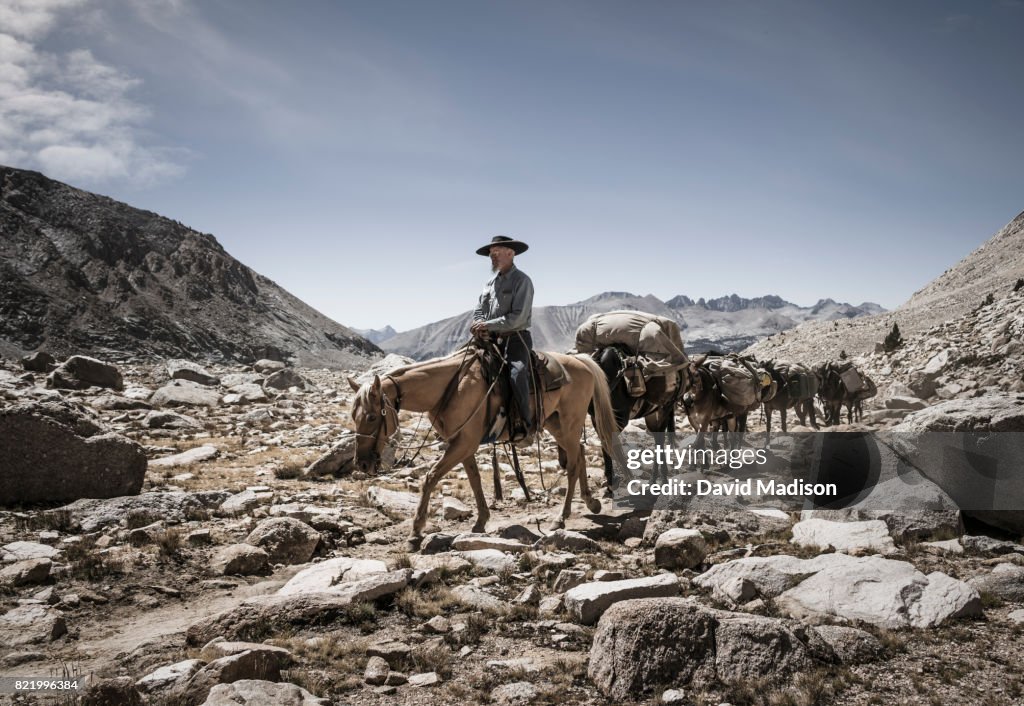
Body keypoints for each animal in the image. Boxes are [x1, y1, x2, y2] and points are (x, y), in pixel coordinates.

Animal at [348, 344, 626, 549]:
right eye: (353, 415)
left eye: (371, 417)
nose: (361, 463)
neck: (450, 387)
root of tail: (583, 362)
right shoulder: (463, 443)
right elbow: (474, 479)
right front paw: (481, 521)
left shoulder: (463, 443)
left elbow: (430, 477)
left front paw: (416, 532)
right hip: (555, 424)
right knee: (579, 453)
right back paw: (590, 502)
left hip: (569, 423)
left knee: (574, 463)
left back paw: (562, 517)